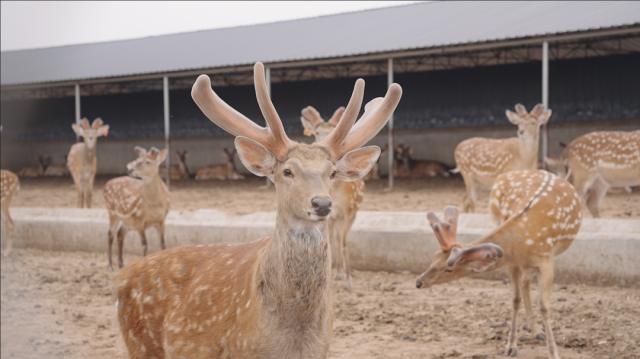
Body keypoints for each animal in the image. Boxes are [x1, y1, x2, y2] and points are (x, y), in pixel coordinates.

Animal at [112, 63, 398, 358]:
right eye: (287, 171)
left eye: (332, 173)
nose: (322, 204)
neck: (293, 339)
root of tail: (122, 280)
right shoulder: (241, 348)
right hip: (142, 344)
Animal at [418, 169, 584, 359]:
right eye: (435, 256)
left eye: (449, 269)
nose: (418, 282)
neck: (525, 243)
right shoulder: (512, 262)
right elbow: (515, 299)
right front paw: (511, 346)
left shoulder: (546, 261)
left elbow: (544, 306)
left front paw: (553, 353)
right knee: (525, 283)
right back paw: (535, 330)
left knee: (527, 282)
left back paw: (537, 331)